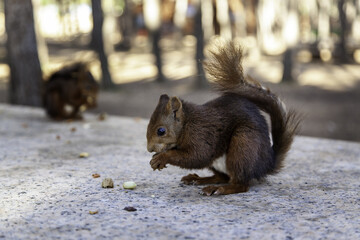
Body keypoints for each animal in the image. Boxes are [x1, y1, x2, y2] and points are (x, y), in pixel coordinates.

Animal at [146, 41, 300, 195]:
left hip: (243, 145)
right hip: (220, 161)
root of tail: (267, 164)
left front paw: (162, 158)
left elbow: (197, 156)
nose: (149, 149)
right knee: (222, 177)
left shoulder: (201, 135)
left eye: (161, 131)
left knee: (240, 184)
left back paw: (219, 188)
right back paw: (199, 179)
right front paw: (156, 158)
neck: (187, 124)